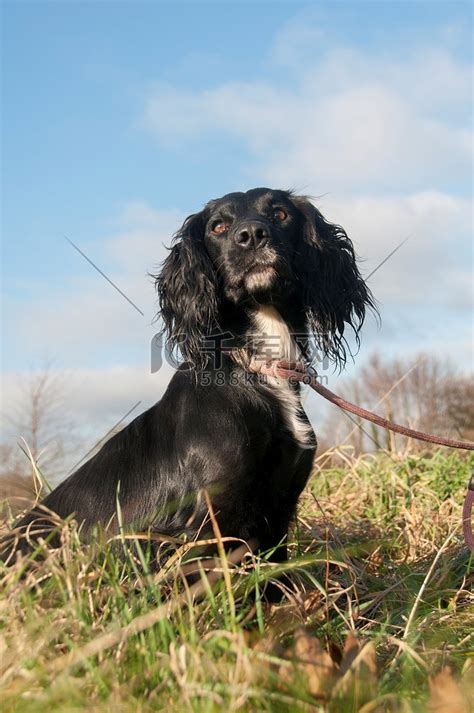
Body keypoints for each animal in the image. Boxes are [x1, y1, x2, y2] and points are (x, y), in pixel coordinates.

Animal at [7, 188, 376, 560]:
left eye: (281, 214)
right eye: (218, 226)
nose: (252, 235)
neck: (256, 366)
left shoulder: (279, 509)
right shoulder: (208, 519)